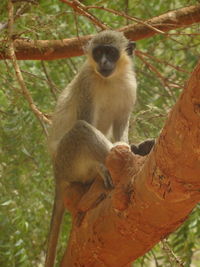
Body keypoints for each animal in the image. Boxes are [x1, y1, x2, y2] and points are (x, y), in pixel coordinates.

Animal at [44, 30, 137, 267]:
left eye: (110, 53)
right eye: (98, 52)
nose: (103, 62)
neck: (110, 80)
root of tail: (57, 174)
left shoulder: (130, 85)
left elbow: (121, 123)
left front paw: (126, 145)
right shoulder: (87, 83)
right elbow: (86, 120)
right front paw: (105, 164)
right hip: (68, 161)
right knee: (80, 129)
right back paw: (102, 167)